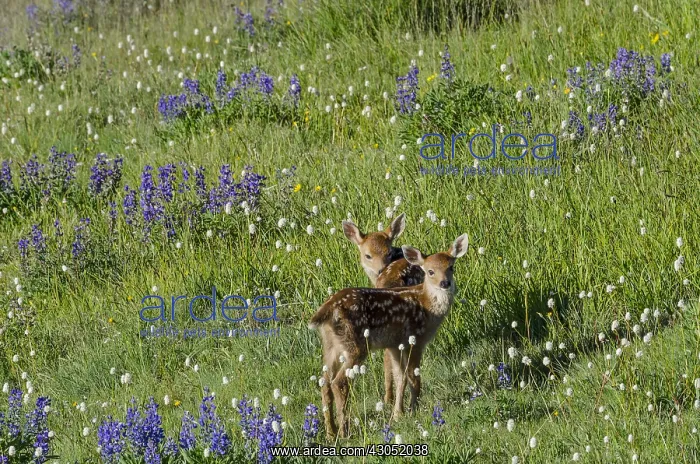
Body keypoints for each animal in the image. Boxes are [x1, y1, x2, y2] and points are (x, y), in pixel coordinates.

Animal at [309, 234, 469, 439]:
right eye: (430, 271)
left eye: (451, 267)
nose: (445, 283)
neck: (427, 305)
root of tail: (329, 309)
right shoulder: (416, 339)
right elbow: (414, 377)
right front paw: (413, 410)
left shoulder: (395, 344)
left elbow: (400, 377)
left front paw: (398, 414)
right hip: (356, 345)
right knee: (339, 382)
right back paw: (344, 431)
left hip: (332, 346)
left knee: (325, 382)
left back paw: (331, 432)